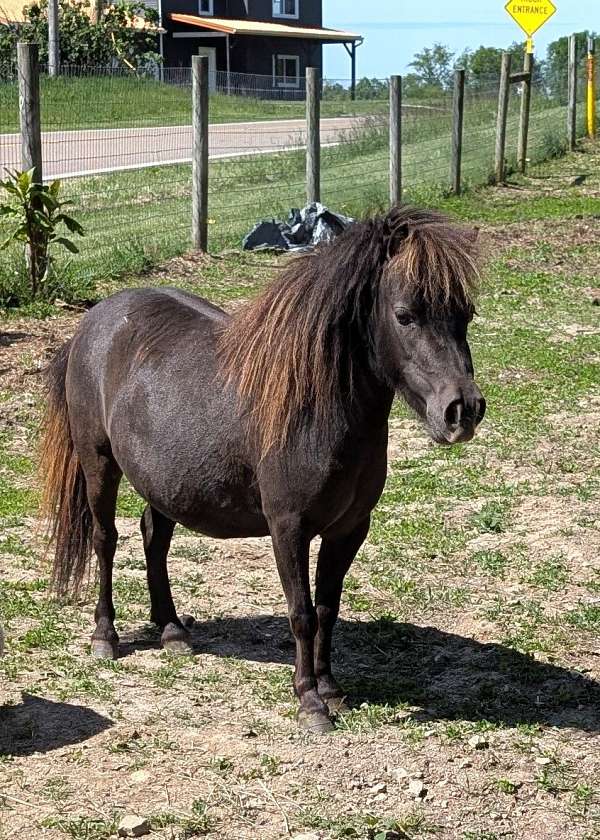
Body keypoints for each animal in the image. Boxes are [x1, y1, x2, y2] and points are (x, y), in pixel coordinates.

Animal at [39, 206, 485, 734]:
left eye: (465, 314)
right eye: (405, 315)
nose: (462, 411)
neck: (317, 407)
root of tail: (93, 321)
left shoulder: (349, 529)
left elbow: (328, 608)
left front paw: (331, 690)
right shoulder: (288, 528)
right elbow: (302, 613)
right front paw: (309, 702)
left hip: (163, 482)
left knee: (154, 539)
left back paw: (172, 631)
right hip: (99, 462)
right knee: (105, 540)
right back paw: (105, 637)